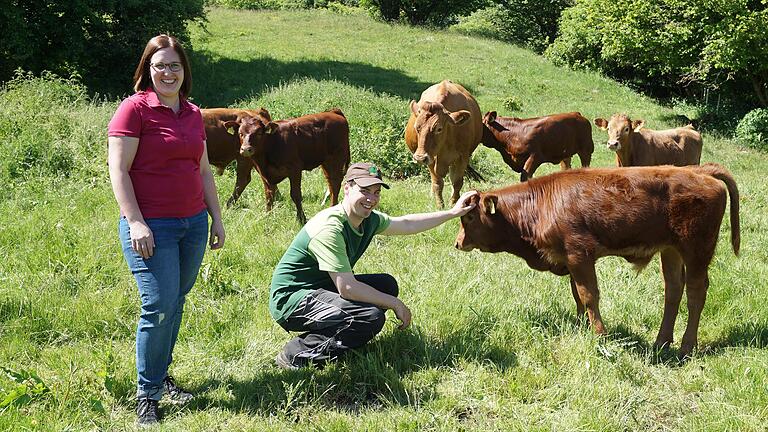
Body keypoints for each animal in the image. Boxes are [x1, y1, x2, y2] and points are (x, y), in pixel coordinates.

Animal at [404, 79, 484, 208]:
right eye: (417, 127)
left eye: (439, 129)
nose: (420, 157)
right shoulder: (431, 157)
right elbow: (437, 183)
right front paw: (440, 205)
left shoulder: (463, 157)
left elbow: (457, 182)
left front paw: (453, 203)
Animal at [456, 164, 736, 356]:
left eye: (469, 217)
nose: (457, 243)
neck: (541, 204)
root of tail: (699, 170)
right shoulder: (570, 259)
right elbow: (577, 295)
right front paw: (581, 327)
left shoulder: (579, 254)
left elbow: (589, 295)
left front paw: (599, 335)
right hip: (671, 251)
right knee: (673, 291)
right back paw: (662, 342)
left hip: (697, 250)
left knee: (696, 293)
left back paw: (687, 347)